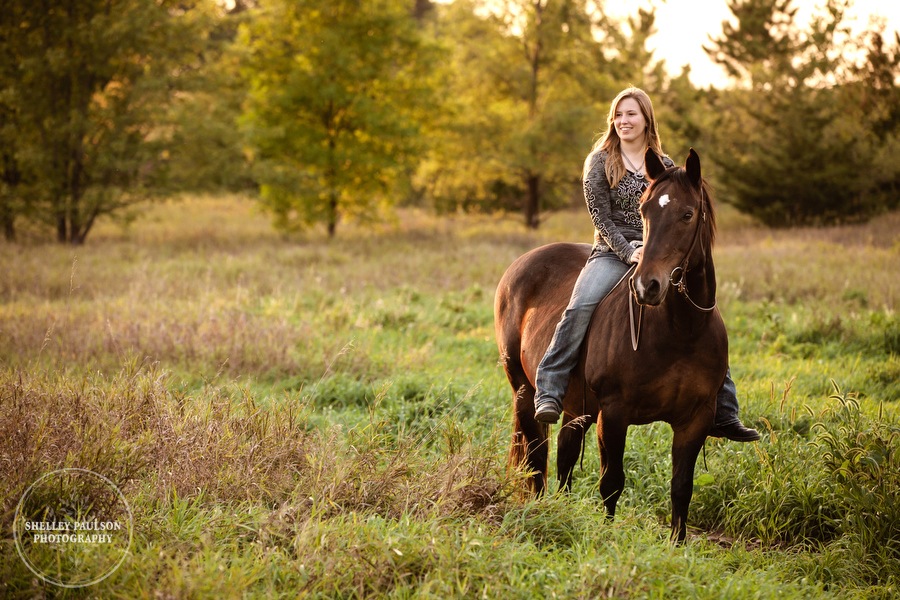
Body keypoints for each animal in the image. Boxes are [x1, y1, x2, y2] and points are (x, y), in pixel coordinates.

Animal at [496, 148, 728, 540]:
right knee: (537, 455)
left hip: (578, 405)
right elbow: (612, 482)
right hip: (524, 389)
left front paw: (677, 545)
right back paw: (540, 510)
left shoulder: (696, 418)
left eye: (687, 214)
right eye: (645, 210)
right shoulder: (615, 413)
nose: (647, 286)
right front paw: (607, 537)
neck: (681, 332)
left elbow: (682, 487)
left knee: (565, 451)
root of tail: (521, 265)